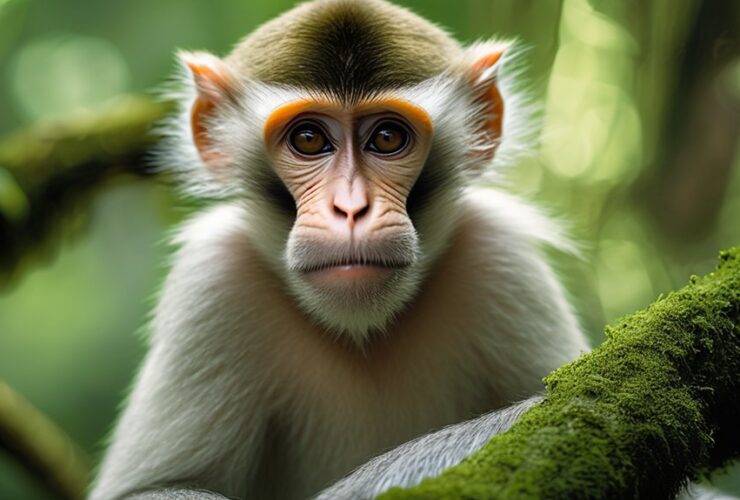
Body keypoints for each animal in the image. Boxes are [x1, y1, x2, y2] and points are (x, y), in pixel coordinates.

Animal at [89, 0, 592, 498]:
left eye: (387, 138)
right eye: (309, 139)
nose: (350, 208)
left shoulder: (500, 256)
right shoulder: (212, 282)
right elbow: (155, 489)